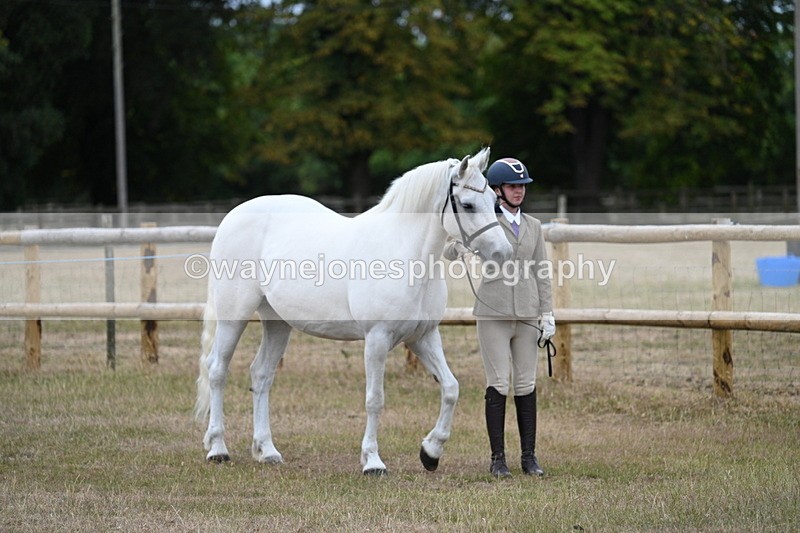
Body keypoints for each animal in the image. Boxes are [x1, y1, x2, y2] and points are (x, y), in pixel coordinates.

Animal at [193, 147, 513, 475]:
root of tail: (232, 217)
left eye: (495, 201)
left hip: (278, 323)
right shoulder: (377, 339)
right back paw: (218, 448)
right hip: (234, 316)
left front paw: (430, 452)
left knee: (261, 375)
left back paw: (267, 450)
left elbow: (451, 388)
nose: (503, 253)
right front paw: (372, 461)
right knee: (217, 370)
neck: (405, 254)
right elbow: (375, 400)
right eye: (467, 204)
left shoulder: (423, 337)